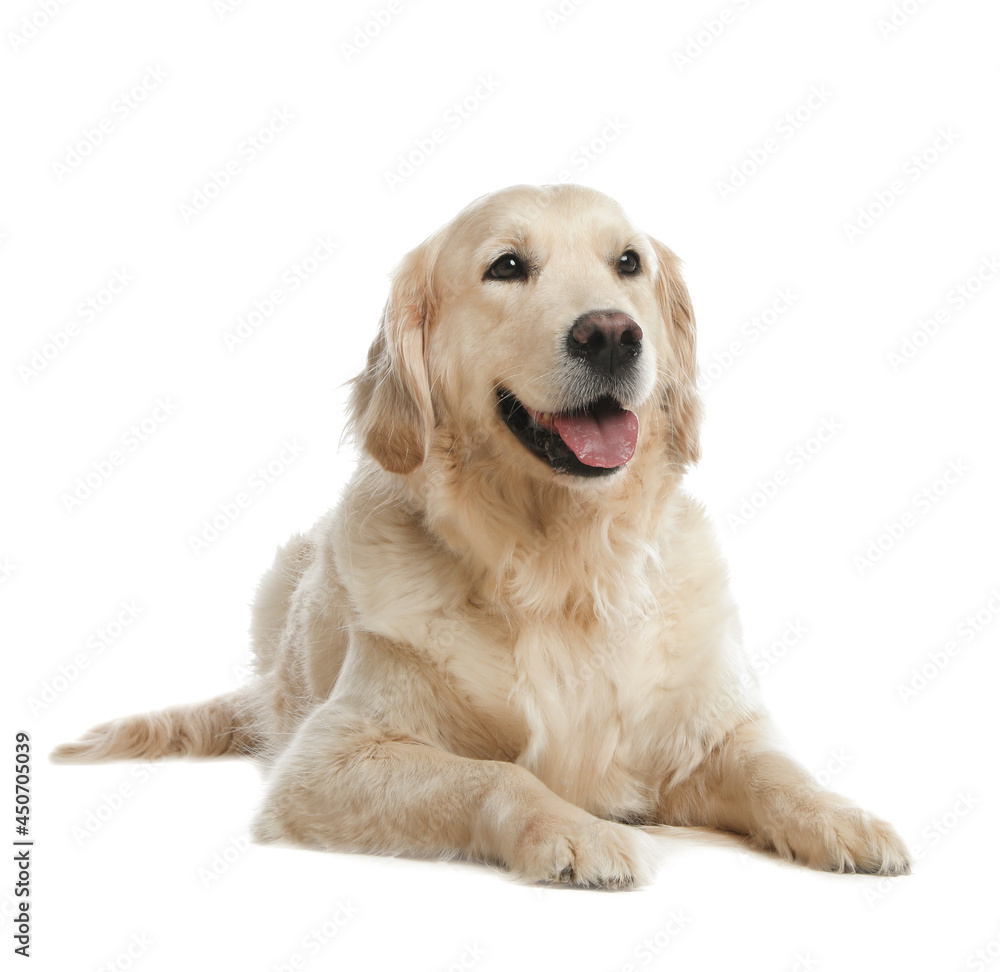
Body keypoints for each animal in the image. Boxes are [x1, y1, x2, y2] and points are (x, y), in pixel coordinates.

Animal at [54, 184, 916, 888]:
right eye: (506, 266)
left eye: (628, 263)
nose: (612, 334)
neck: (562, 566)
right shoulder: (328, 758)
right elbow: (495, 775)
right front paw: (578, 832)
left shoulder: (711, 731)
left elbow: (776, 769)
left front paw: (841, 816)